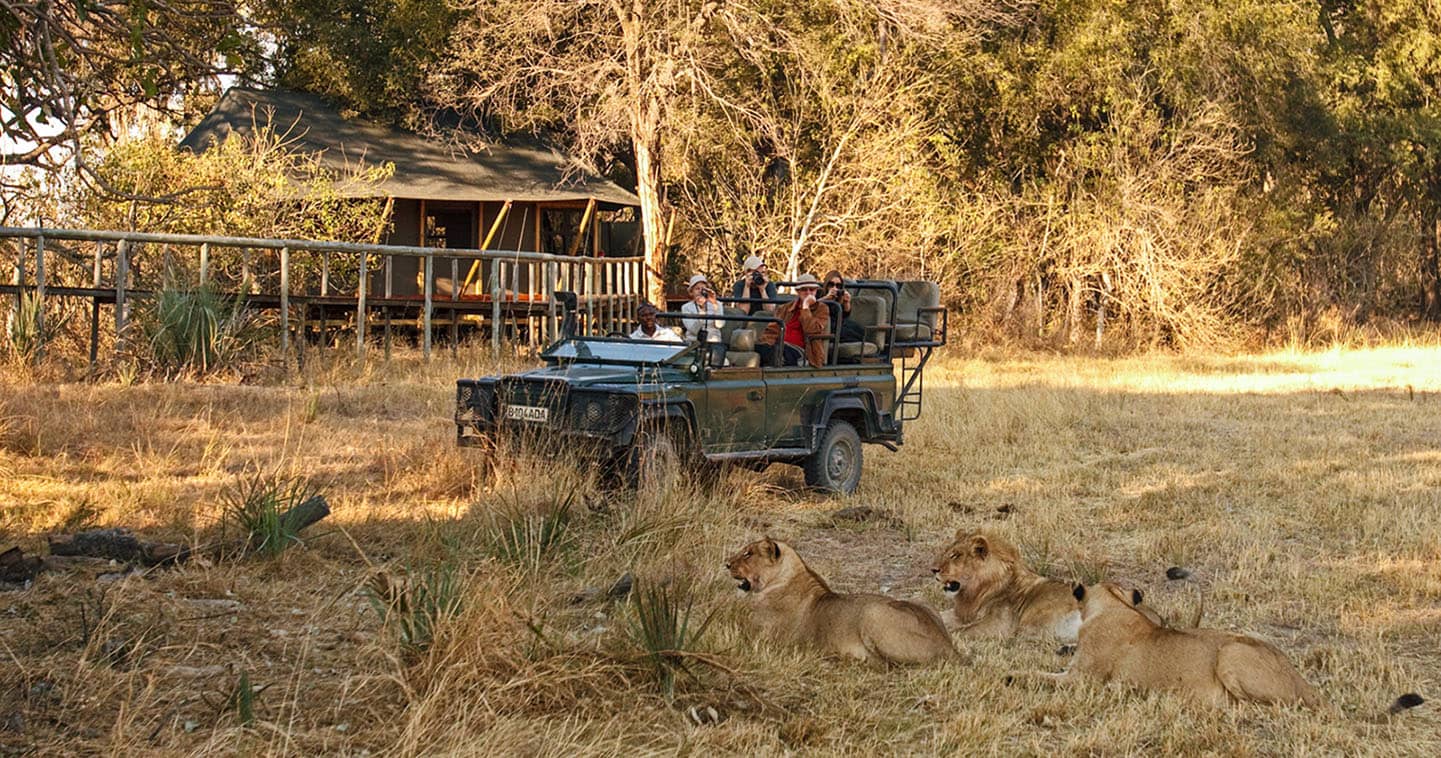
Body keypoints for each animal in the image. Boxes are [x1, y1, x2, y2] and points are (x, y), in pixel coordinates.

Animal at [732, 538, 956, 668]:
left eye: (748, 553)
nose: (727, 564)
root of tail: (949, 646)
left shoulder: (763, 640)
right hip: (923, 602)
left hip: (872, 612)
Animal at [928, 533, 1083, 645]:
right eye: (947, 552)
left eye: (955, 555)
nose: (933, 570)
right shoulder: (964, 613)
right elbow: (939, 614)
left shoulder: (1000, 625)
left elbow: (960, 631)